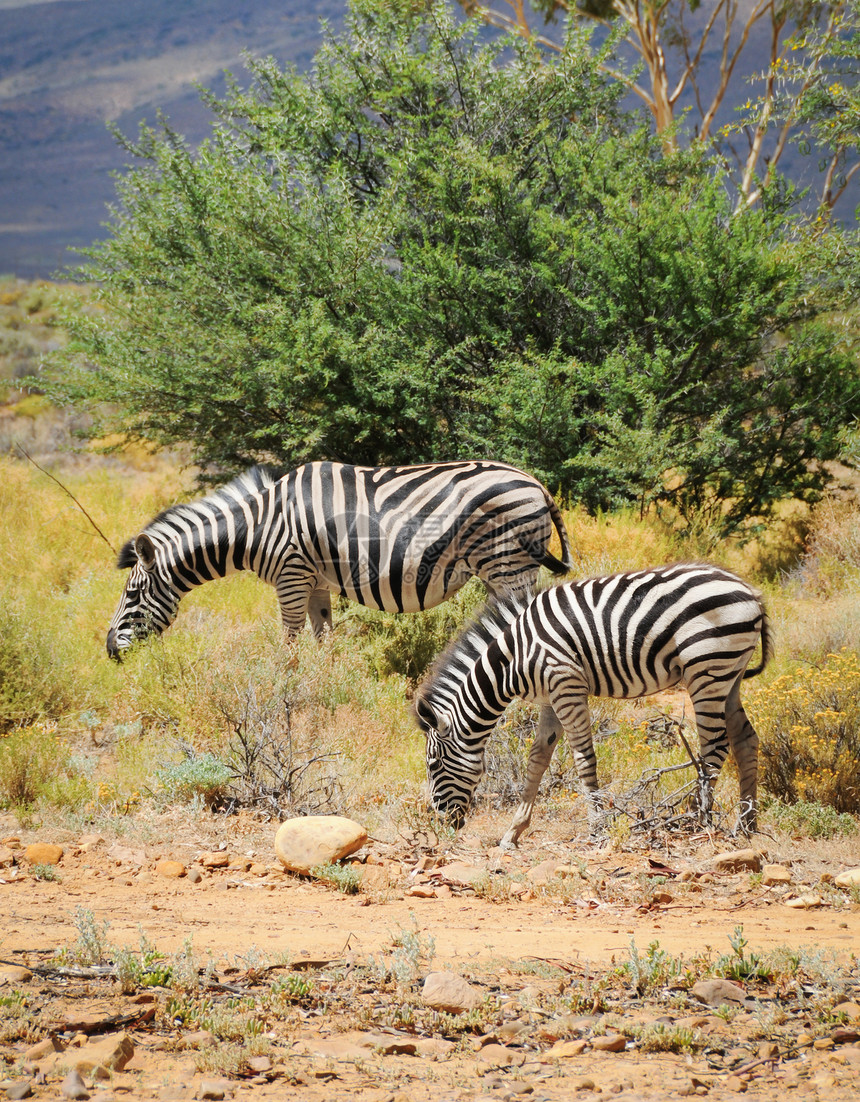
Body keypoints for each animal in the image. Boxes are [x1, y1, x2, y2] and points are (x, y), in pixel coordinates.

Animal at [109, 460, 577, 656]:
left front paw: (286, 693)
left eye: (131, 596)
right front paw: (328, 683)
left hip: (509, 565)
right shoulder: (315, 582)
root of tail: (536, 482)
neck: (259, 527)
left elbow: (289, 643)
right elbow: (324, 639)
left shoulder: (292, 577)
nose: (111, 651)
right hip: (501, 571)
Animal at [412, 564, 767, 846]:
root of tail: (749, 590)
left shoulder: (566, 685)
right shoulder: (551, 698)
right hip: (729, 675)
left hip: (706, 669)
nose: (442, 823)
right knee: (745, 739)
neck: (513, 658)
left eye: (433, 765)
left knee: (715, 746)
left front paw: (597, 827)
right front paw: (514, 831)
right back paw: (746, 825)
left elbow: (583, 759)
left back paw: (698, 820)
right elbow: (537, 760)